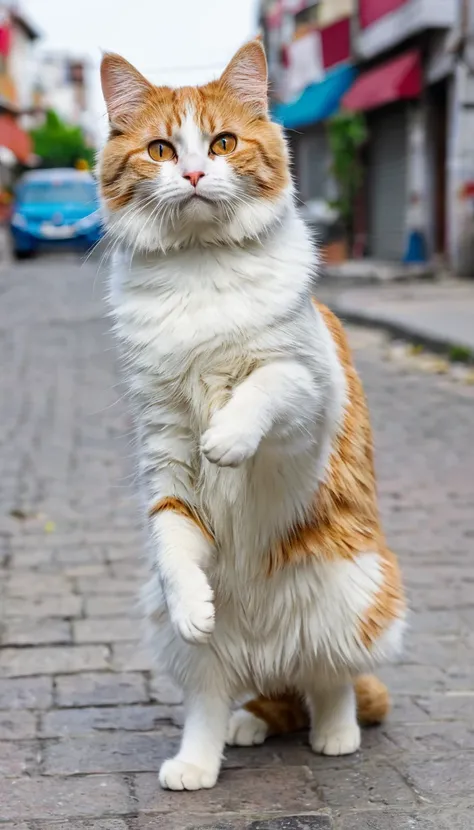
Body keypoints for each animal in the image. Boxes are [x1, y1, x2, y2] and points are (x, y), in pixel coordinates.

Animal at [98, 39, 406, 792]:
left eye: (223, 142)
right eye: (159, 149)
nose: (194, 172)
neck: (199, 275)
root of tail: (273, 652)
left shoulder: (308, 401)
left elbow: (264, 386)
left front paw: (230, 436)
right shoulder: (165, 457)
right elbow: (174, 540)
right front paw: (193, 601)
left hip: (351, 596)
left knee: (330, 679)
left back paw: (335, 735)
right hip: (184, 644)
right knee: (218, 695)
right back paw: (206, 754)